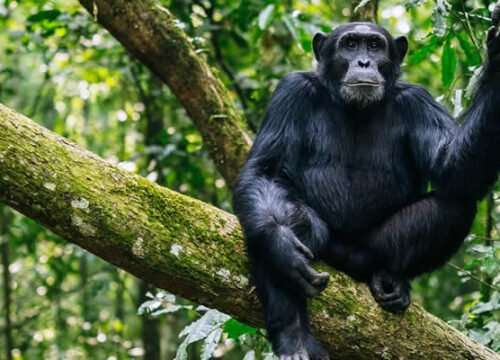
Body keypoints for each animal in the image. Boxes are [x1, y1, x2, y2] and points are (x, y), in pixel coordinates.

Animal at [232, 6, 500, 360]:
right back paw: (294, 338)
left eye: (374, 46)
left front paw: (499, 56)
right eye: (350, 45)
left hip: (369, 253)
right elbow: (265, 172)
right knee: (283, 222)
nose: (363, 62)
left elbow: (453, 166)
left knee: (456, 202)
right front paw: (281, 246)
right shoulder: (292, 92)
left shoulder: (417, 101)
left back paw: (391, 278)